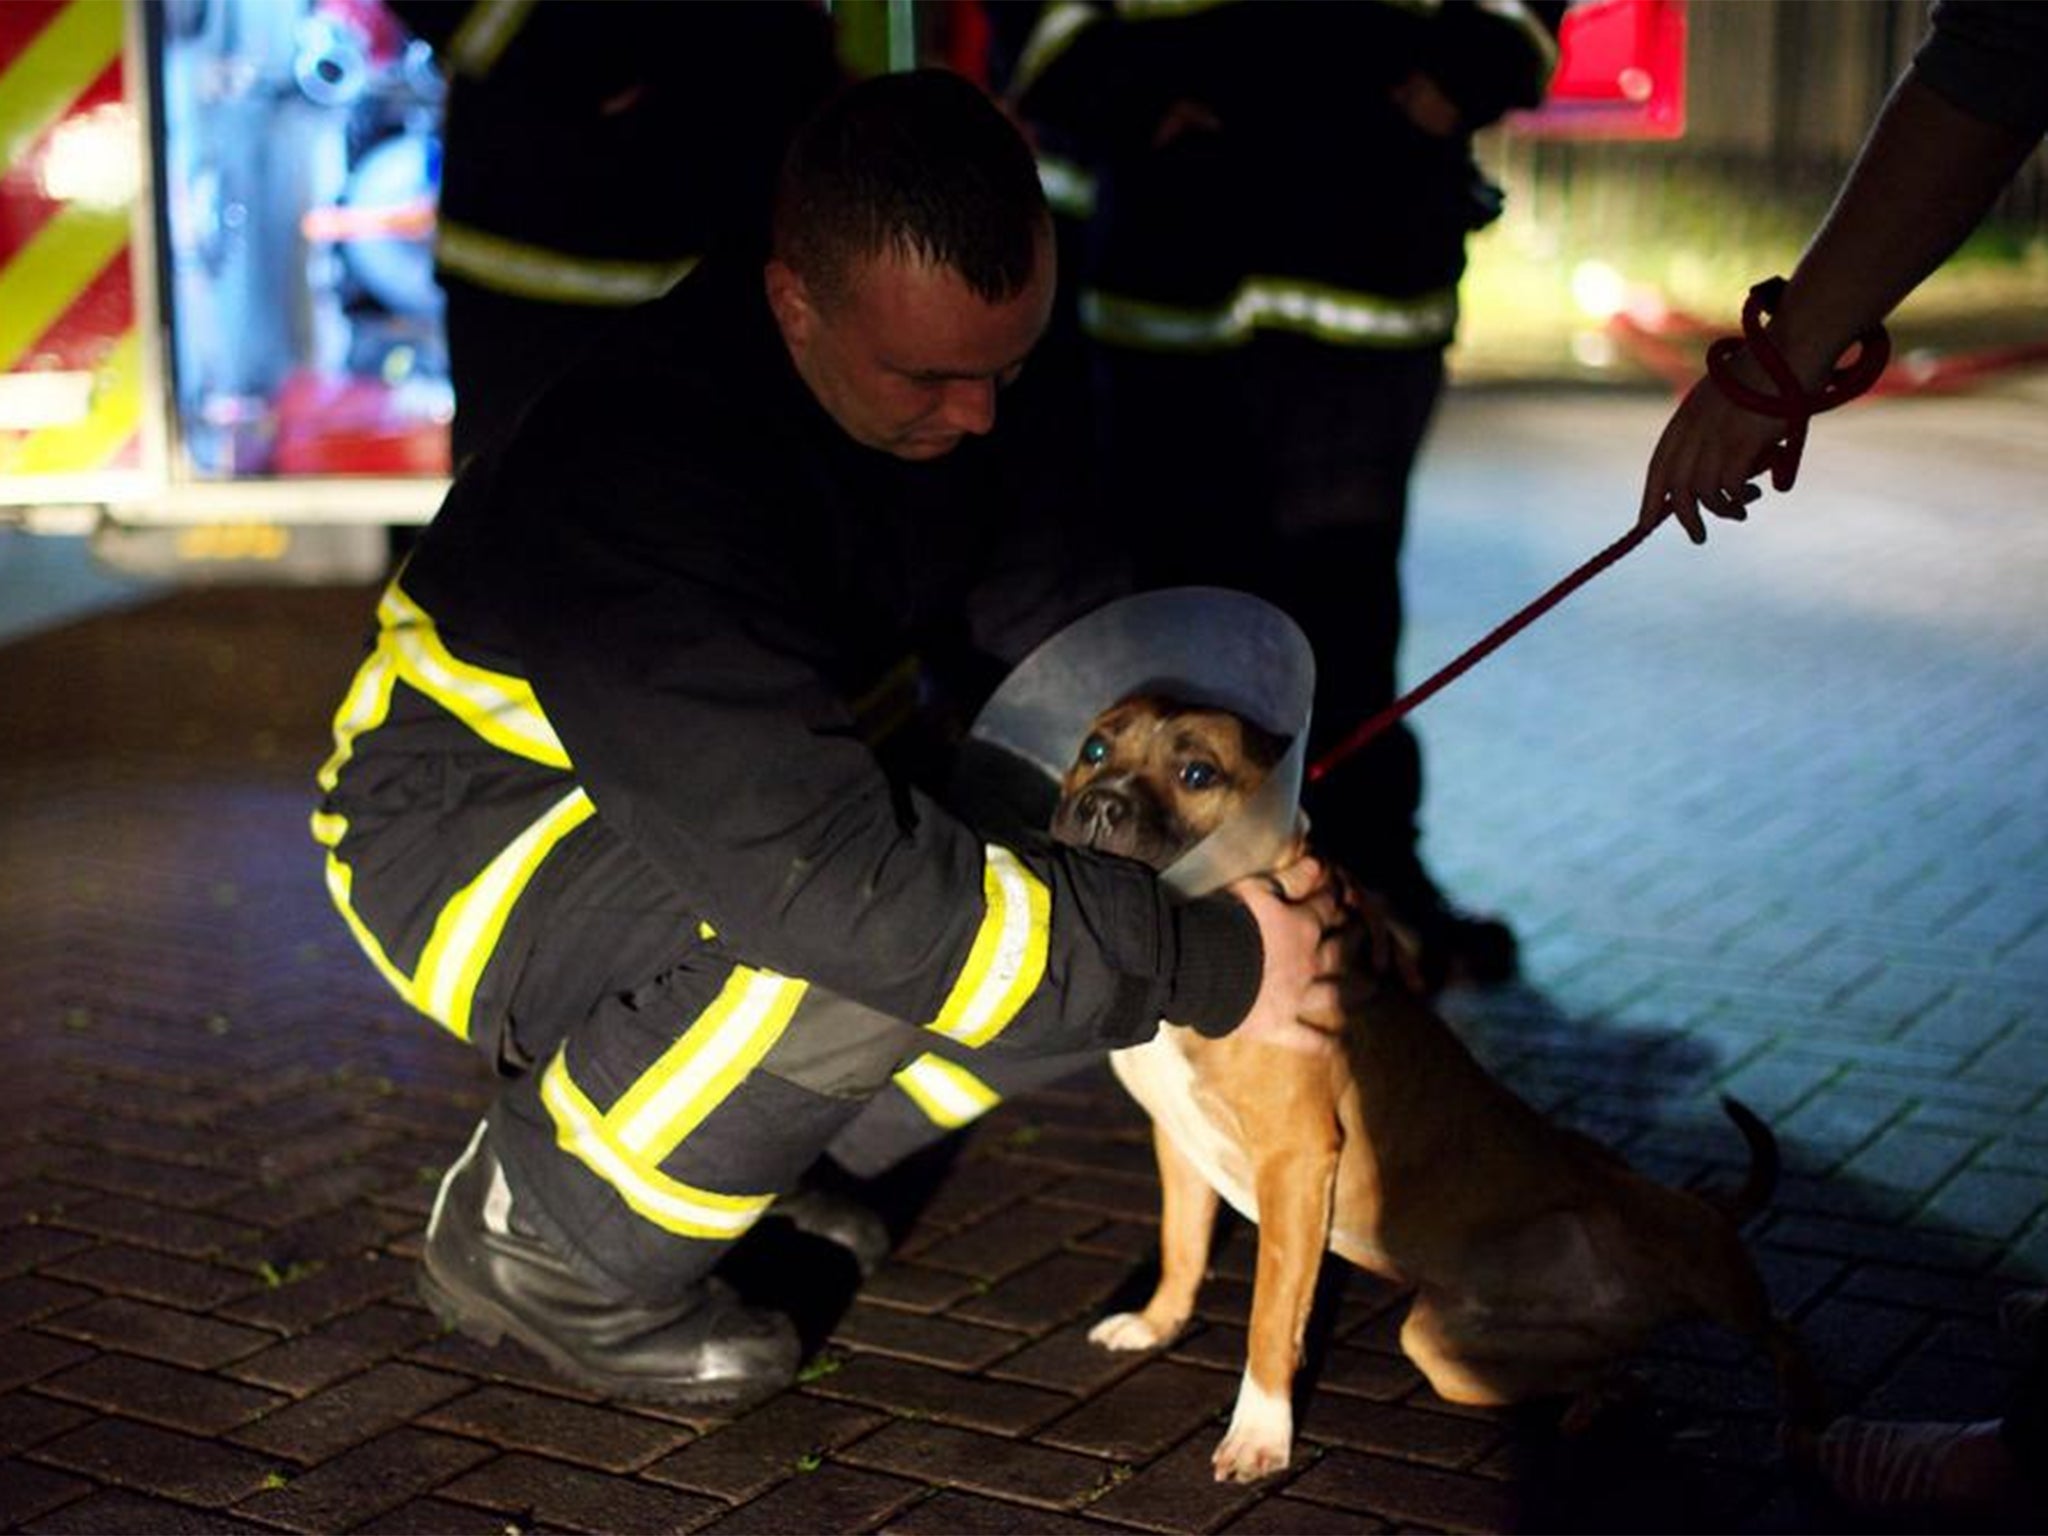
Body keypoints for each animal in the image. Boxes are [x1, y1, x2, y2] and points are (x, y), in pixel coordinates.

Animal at [1048, 696, 1818, 1482]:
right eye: (1097, 749)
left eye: (1197, 772)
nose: (1100, 806)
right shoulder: (1179, 1142)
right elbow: (1182, 1243)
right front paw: (1156, 1322)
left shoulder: (1295, 1160)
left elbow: (1269, 1317)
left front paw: (1259, 1433)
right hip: (1448, 1351)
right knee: (1617, 1371)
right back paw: (1596, 1403)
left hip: (1701, 1259)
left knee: (1786, 1337)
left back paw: (1804, 1431)